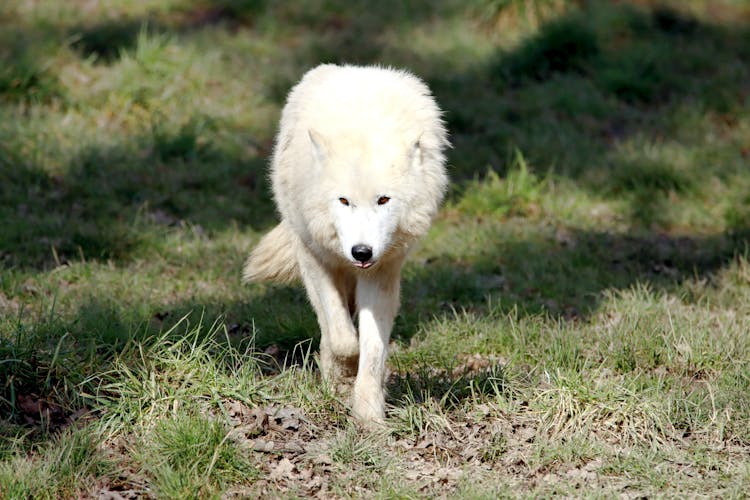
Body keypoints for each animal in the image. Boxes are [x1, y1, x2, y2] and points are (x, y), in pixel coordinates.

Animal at [244, 62, 450, 422]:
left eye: (383, 199)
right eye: (344, 201)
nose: (362, 252)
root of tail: (360, 69)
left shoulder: (382, 272)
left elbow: (373, 347)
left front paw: (368, 414)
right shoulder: (317, 258)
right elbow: (343, 338)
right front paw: (343, 373)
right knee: (330, 323)